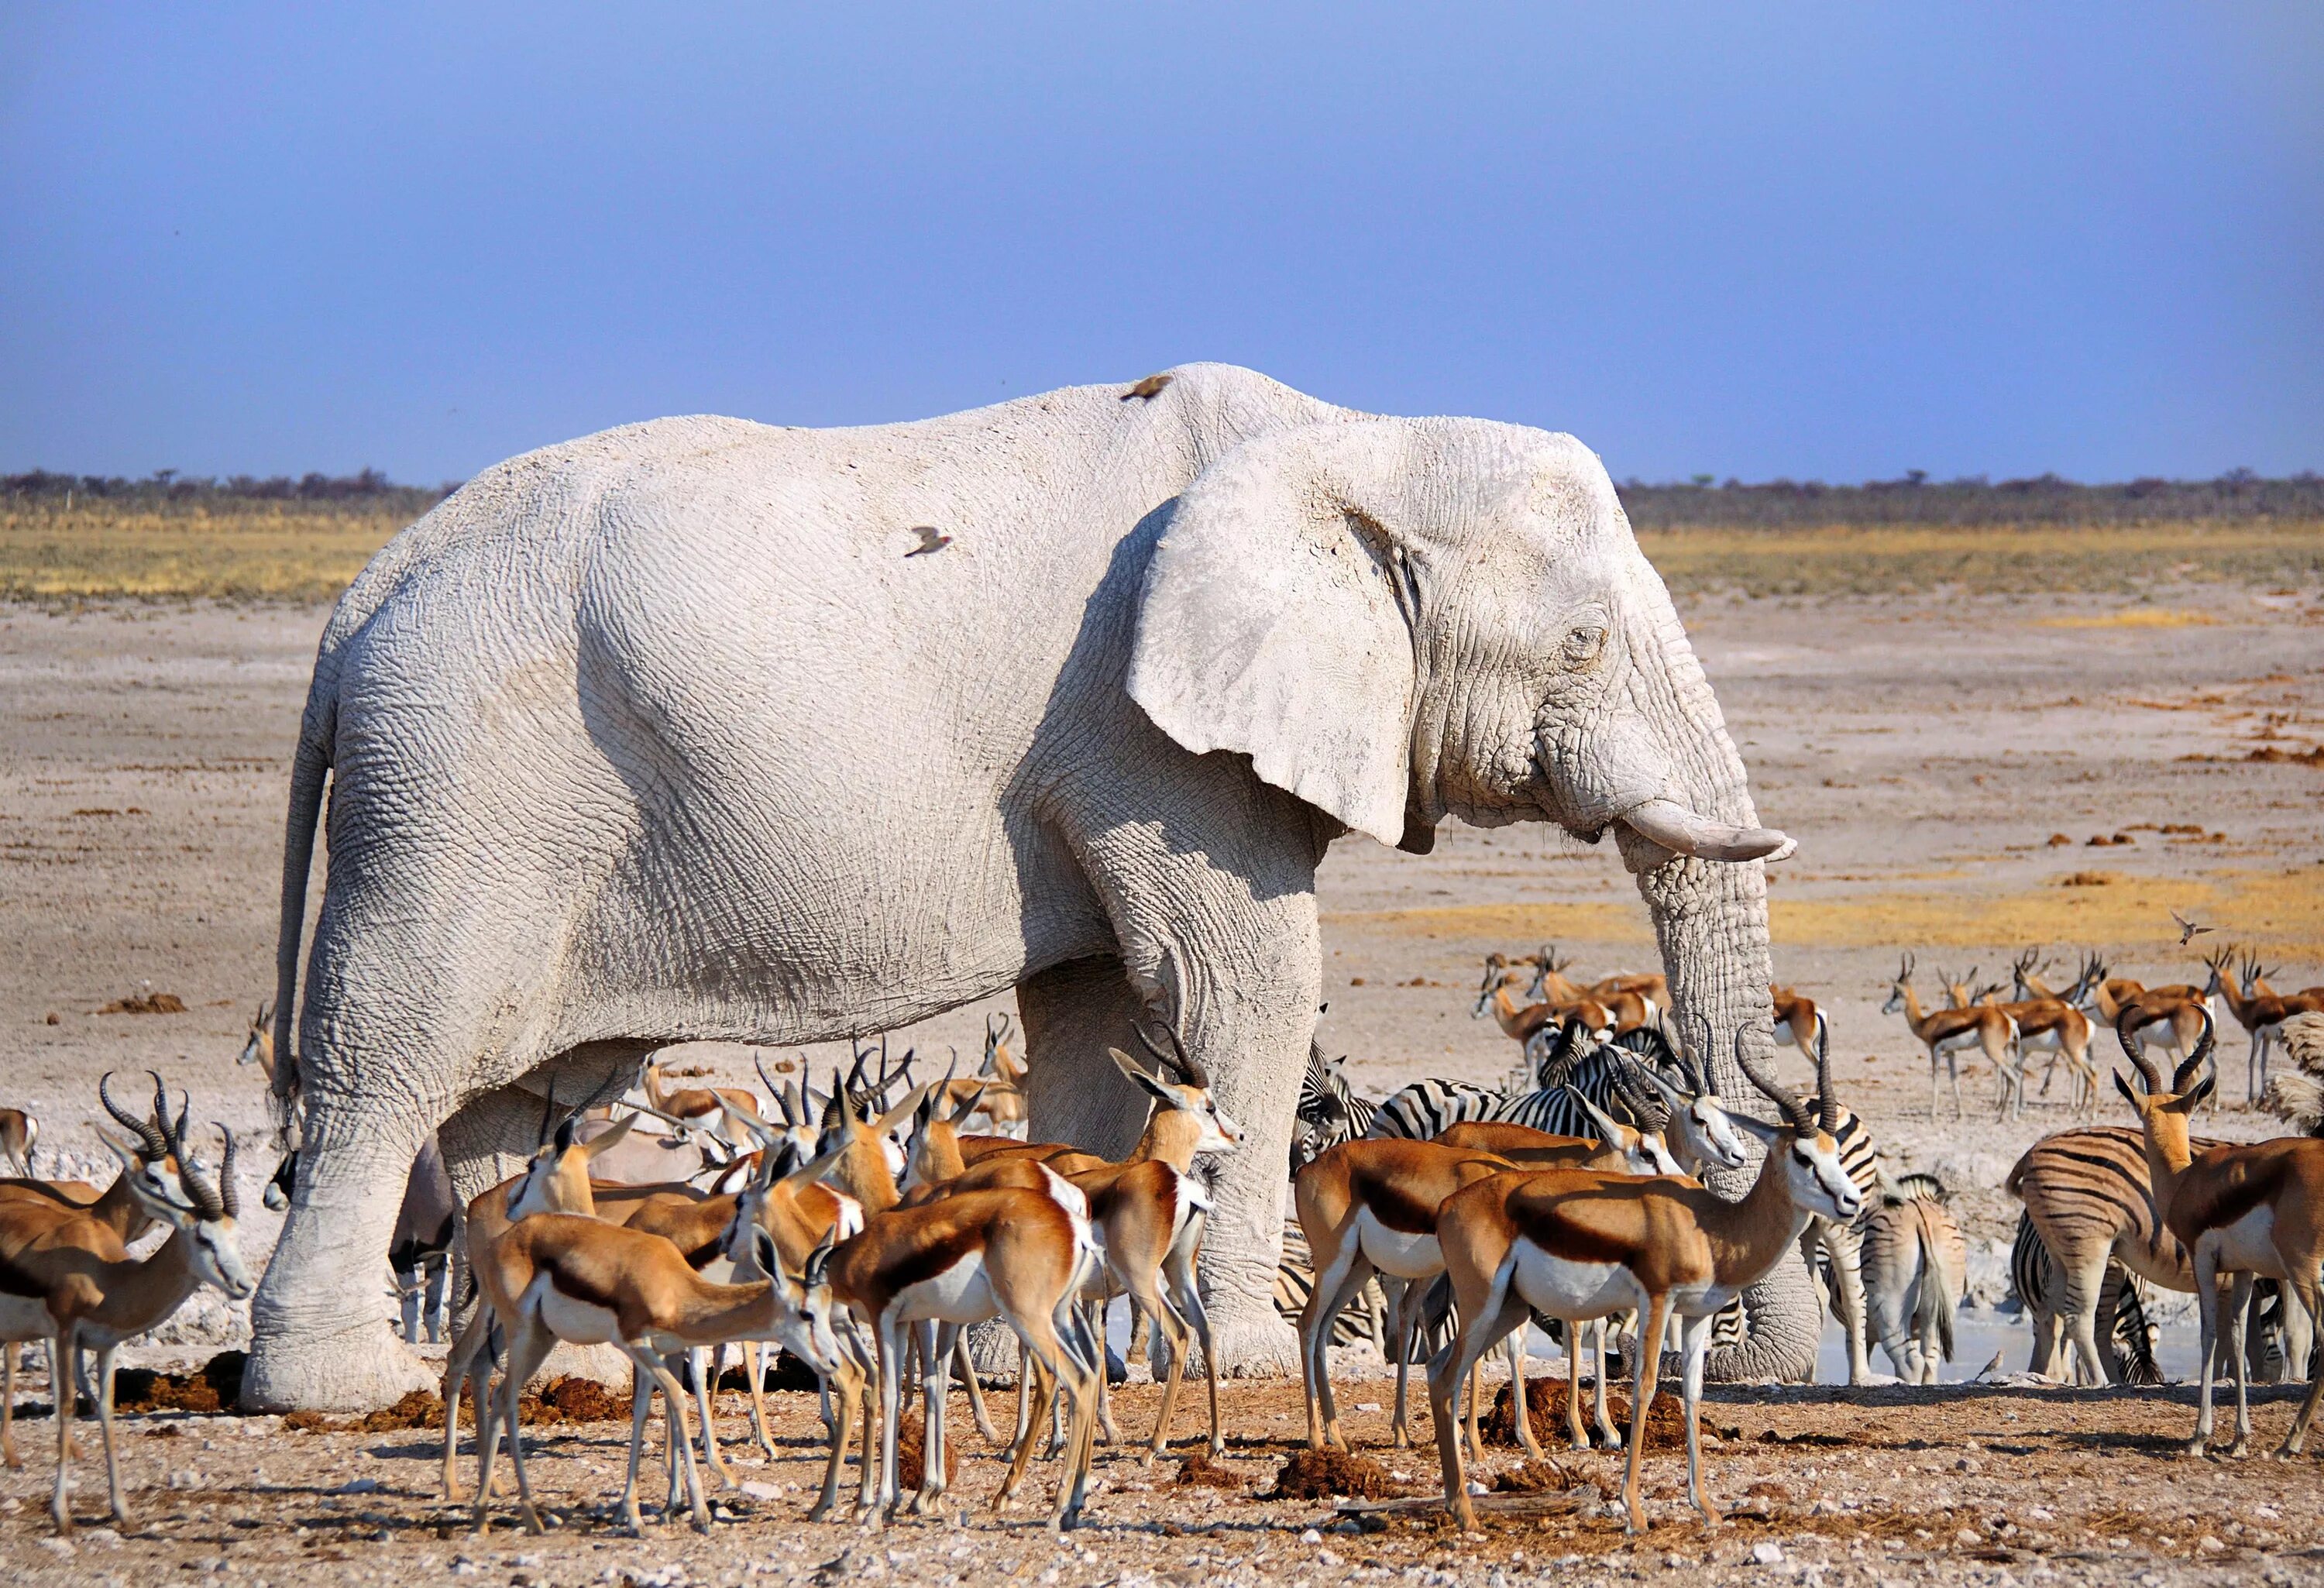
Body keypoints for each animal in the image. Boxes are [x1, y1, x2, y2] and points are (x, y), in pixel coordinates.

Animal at [240, 367, 1794, 1413]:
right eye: (1583, 644)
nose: (1758, 1363)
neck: (1353, 436)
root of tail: (357, 600)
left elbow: (1098, 1022)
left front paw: (1011, 1345)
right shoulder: (1148, 737)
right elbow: (1248, 987)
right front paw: (1239, 1360)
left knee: (528, 1097)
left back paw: (542, 1359)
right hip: (459, 792)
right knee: (394, 1061)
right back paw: (349, 1387)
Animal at [1422, 1023, 1859, 1534]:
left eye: (1836, 1152)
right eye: (1804, 1157)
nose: (1850, 1201)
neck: (1712, 1227)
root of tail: (1451, 1204)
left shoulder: (1696, 1315)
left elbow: (1692, 1392)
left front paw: (1705, 1506)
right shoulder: (1656, 1302)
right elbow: (1645, 1385)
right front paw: (1633, 1508)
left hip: (1507, 1309)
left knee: (1439, 1369)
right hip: (1483, 1304)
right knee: (1447, 1376)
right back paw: (1465, 1511)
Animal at [2119, 1013, 2324, 1459]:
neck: (2186, 1180)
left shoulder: (2202, 1261)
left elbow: (2209, 1334)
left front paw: (2199, 1437)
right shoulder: (2244, 1271)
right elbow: (2237, 1335)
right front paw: (2239, 1439)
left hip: (2302, 1268)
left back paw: (2290, 1443)